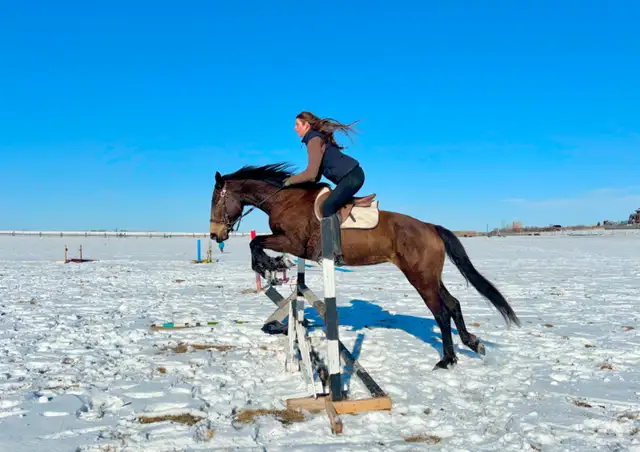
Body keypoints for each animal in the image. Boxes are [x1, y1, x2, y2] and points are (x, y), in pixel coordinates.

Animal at [209, 163, 520, 369]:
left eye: (215, 200)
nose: (215, 235)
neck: (284, 200)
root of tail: (430, 227)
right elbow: (257, 243)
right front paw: (271, 267)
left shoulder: (294, 243)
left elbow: (256, 243)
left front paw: (270, 265)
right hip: (430, 276)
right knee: (453, 304)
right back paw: (472, 343)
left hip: (419, 277)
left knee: (441, 312)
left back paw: (447, 359)